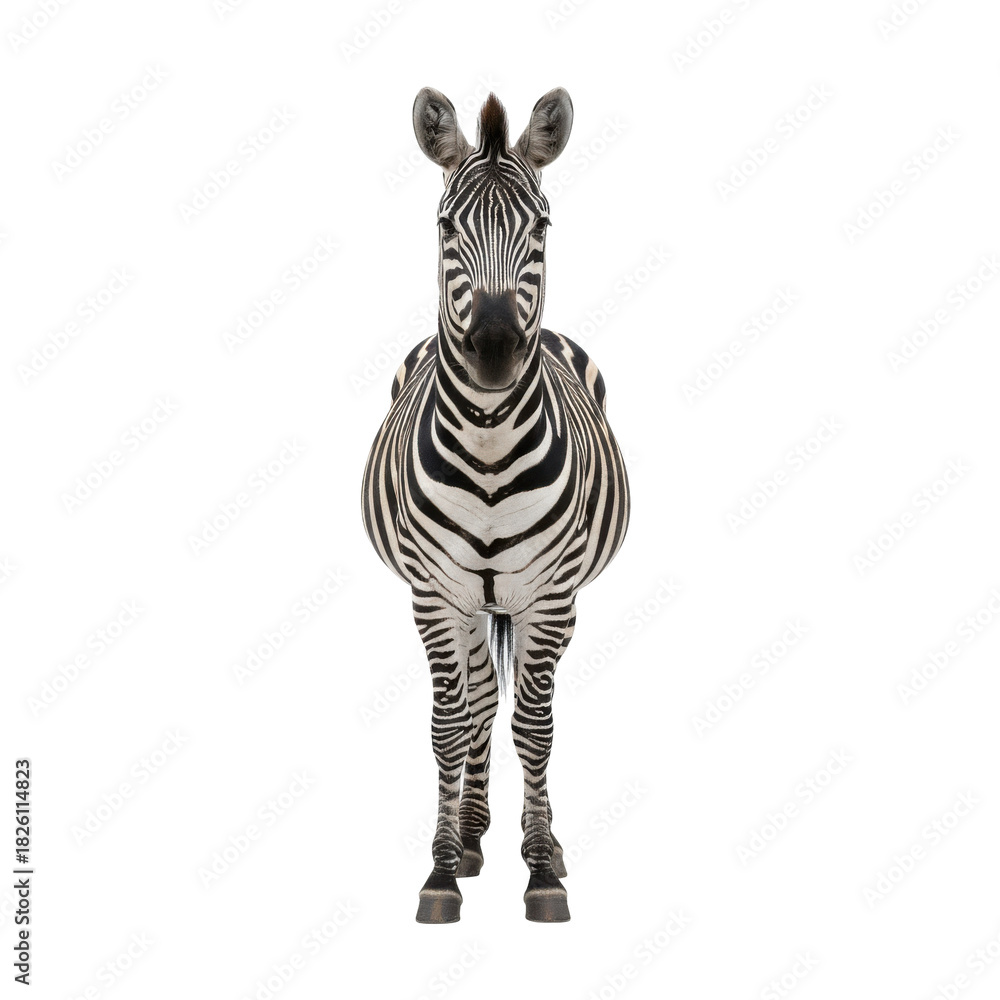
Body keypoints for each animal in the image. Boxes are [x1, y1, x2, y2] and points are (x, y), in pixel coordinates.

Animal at [362, 87, 630, 922]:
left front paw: (542, 869)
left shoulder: (549, 596)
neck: (486, 447)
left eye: (540, 226)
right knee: (479, 696)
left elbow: (535, 728)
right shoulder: (433, 593)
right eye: (446, 226)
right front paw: (442, 870)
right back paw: (472, 834)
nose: (493, 351)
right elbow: (451, 724)